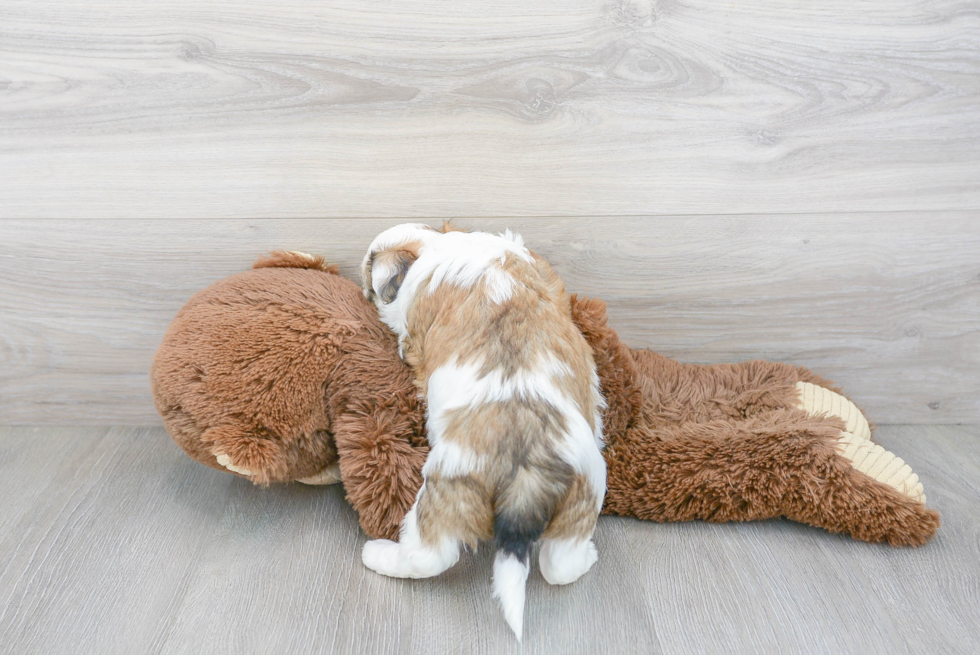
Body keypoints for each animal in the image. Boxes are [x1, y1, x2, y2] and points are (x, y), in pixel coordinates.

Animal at [360, 224, 604, 640]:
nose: (363, 290)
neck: (434, 245)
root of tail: (525, 469)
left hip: (450, 489)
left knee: (429, 554)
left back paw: (379, 555)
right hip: (584, 492)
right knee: (559, 562)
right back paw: (585, 556)